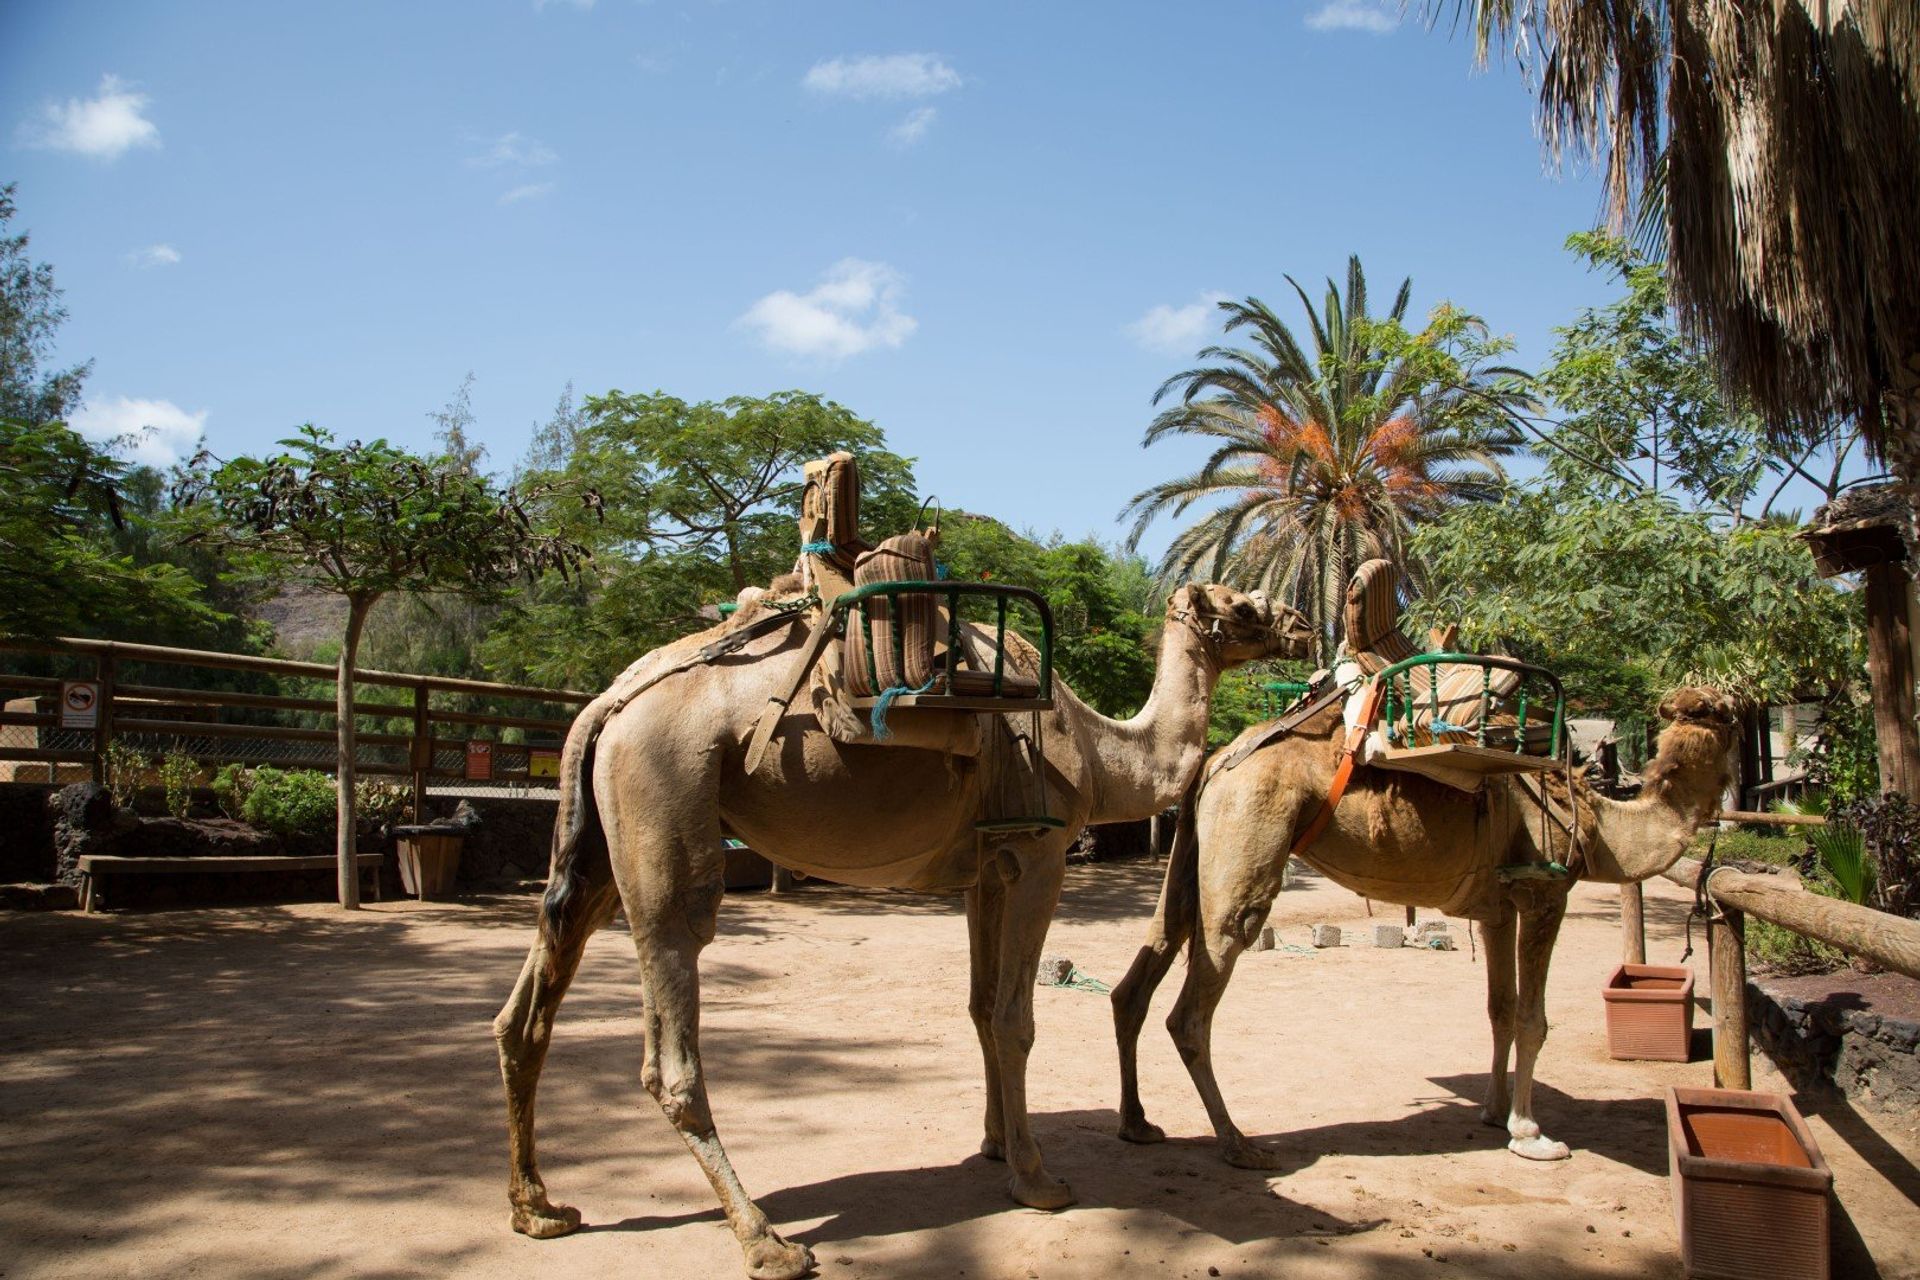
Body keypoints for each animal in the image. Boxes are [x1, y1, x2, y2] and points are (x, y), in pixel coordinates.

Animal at [491, 583, 1320, 1280]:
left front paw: (996, 1145)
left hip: (598, 846)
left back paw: (539, 1208)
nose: (1304, 625)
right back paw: (765, 1242)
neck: (1097, 748)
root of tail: (607, 704)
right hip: (664, 794)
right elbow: (1016, 1021)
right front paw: (1037, 1178)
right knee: (673, 1019)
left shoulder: (986, 870)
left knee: (525, 1011)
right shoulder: (1041, 851)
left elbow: (981, 1011)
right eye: (1243, 604)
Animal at [1105, 690, 1751, 1174]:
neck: (1599, 826)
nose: (1734, 705)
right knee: (1199, 993)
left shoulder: (1497, 909)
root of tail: (1219, 761)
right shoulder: (1544, 892)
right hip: (1248, 833)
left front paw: (1492, 1112)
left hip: (1194, 845)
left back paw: (1139, 1124)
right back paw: (1238, 1144)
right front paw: (1531, 1134)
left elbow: (1500, 1008)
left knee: (1147, 962)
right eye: (1727, 714)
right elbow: (1533, 1019)